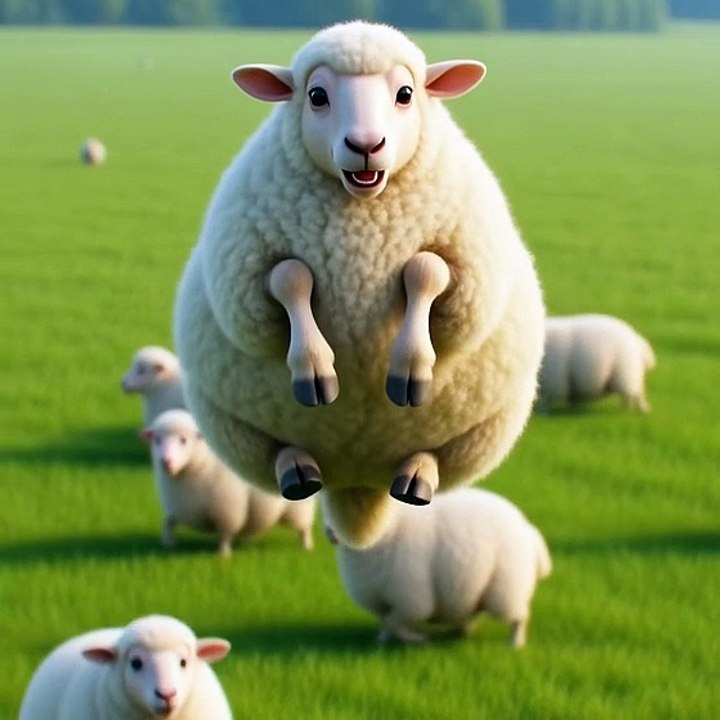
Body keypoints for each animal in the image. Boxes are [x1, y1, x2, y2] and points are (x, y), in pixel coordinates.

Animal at [141, 409, 315, 555]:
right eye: (157, 440)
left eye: (183, 440)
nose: (166, 462)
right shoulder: (174, 506)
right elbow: (168, 524)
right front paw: (168, 543)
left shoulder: (227, 511)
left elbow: (224, 535)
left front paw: (223, 555)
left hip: (299, 507)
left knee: (304, 527)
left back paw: (306, 546)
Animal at [174, 21, 545, 548]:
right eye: (317, 95)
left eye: (406, 94)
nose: (366, 144)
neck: (363, 219)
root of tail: (358, 482)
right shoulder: (243, 277)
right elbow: (289, 278)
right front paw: (315, 370)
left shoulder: (470, 270)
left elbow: (427, 271)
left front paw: (411, 368)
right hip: (232, 426)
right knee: (280, 454)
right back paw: (298, 473)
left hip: (484, 430)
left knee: (432, 459)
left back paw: (416, 480)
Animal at [325, 487, 552, 647]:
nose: (330, 533)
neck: (390, 528)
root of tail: (529, 531)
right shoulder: (382, 599)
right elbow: (387, 623)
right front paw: (383, 640)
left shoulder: (411, 600)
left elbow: (394, 623)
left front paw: (416, 639)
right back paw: (463, 630)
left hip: (507, 589)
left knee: (519, 618)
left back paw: (515, 643)